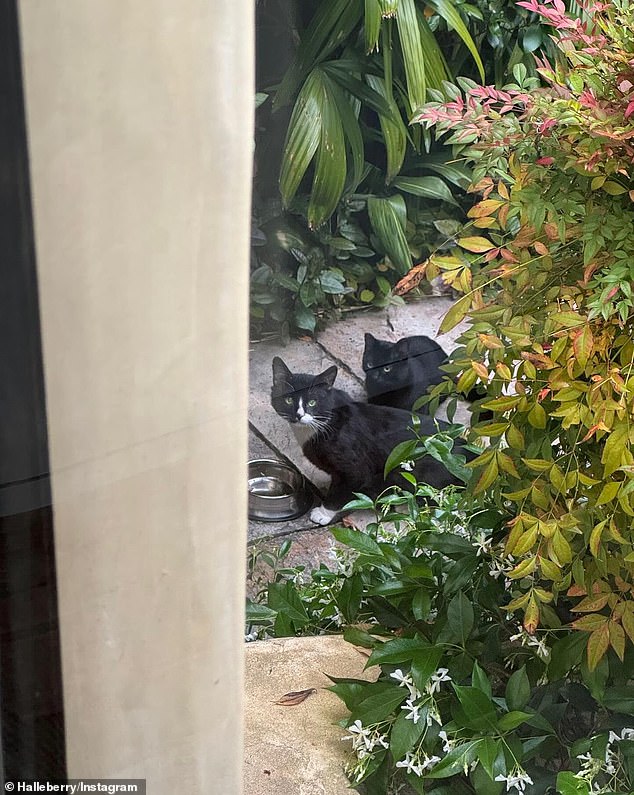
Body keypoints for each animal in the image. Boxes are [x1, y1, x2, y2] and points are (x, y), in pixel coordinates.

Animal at [270, 358, 466, 524]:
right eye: (288, 399)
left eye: (312, 402)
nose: (298, 415)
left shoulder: (356, 469)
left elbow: (342, 491)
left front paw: (324, 513)